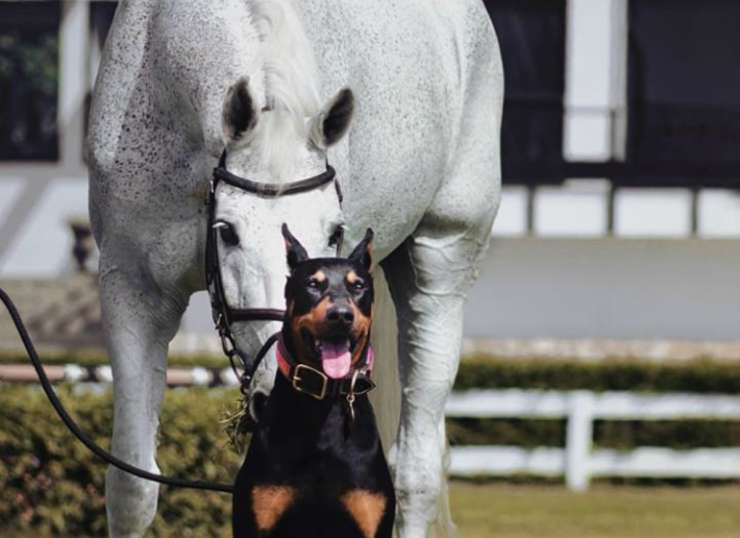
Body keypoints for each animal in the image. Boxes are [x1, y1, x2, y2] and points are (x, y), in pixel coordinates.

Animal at [234, 224, 396, 532]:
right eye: (312, 284)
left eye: (358, 286)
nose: (341, 315)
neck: (324, 402)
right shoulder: (258, 516)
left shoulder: (372, 515)